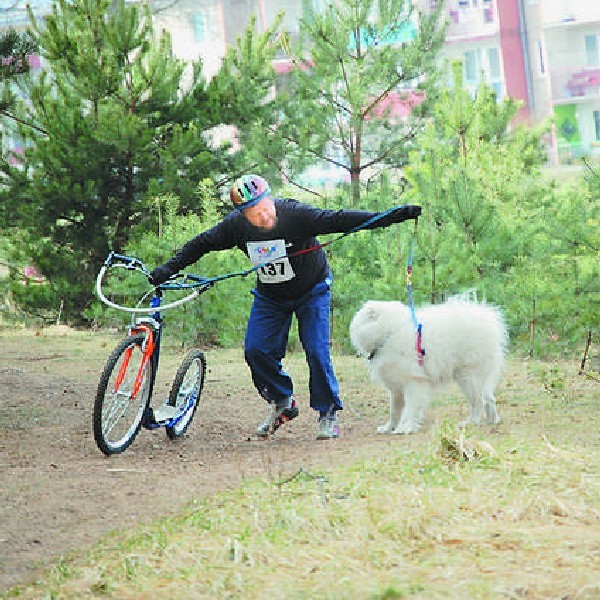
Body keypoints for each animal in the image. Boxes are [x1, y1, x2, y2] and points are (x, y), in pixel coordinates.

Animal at [350, 302, 508, 434]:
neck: (389, 334)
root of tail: (489, 321)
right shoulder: (396, 388)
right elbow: (394, 412)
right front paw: (389, 428)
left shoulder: (413, 383)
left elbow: (410, 410)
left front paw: (405, 428)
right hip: (478, 379)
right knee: (490, 399)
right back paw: (490, 421)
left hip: (468, 378)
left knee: (479, 402)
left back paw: (470, 422)